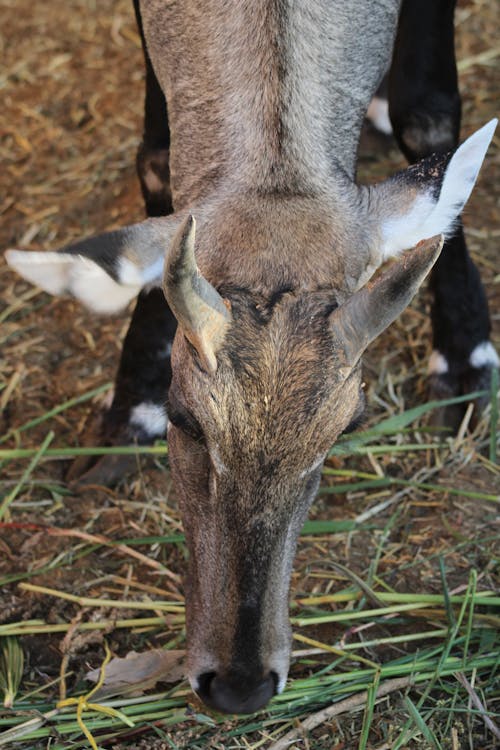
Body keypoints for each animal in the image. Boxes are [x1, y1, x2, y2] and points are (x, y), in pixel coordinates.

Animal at [5, 0, 498, 716]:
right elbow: (157, 162)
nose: (240, 687)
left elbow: (429, 114)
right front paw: (128, 408)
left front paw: (463, 360)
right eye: (183, 418)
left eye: (345, 428)